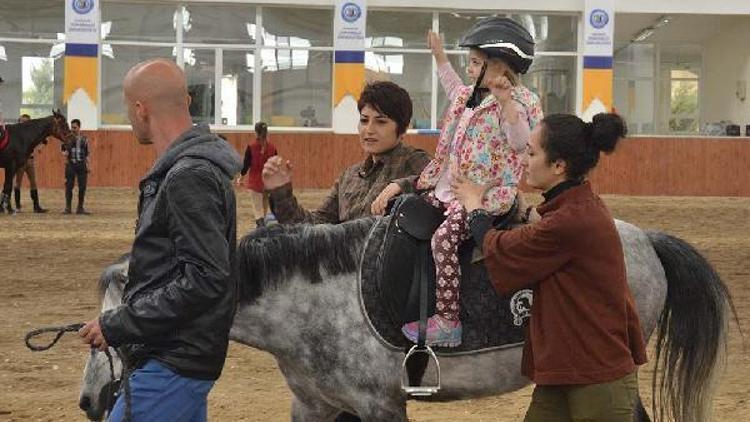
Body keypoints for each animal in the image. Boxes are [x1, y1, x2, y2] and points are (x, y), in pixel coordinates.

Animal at [82, 218, 736, 422]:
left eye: (122, 319)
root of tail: (646, 239)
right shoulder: (313, 406)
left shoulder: (381, 407)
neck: (311, 306)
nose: (90, 401)